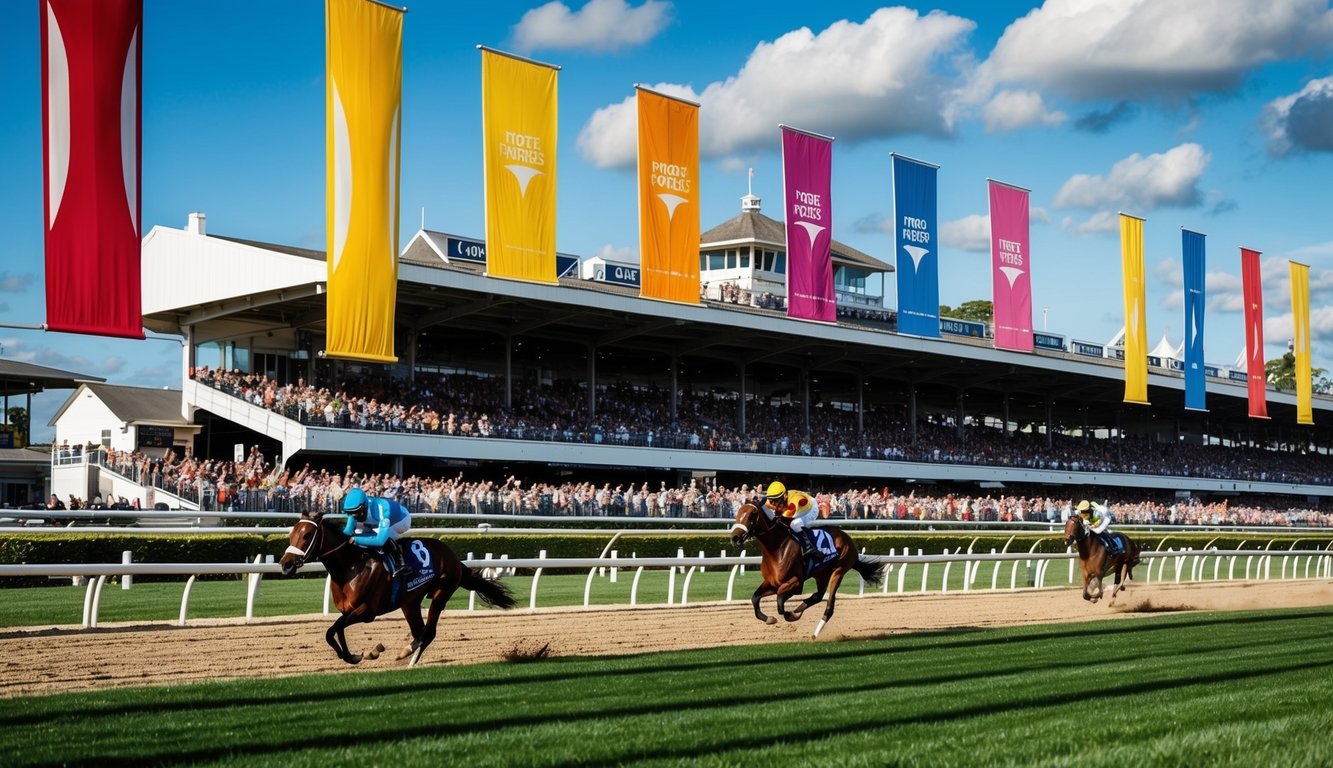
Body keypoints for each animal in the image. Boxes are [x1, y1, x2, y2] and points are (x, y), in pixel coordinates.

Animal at [277, 509, 514, 666]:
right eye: (291, 535)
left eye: (307, 535)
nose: (285, 564)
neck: (350, 567)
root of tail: (454, 556)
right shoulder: (348, 610)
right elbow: (336, 630)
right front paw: (353, 655)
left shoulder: (367, 611)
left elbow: (332, 630)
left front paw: (360, 654)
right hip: (410, 602)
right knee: (420, 631)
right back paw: (407, 654)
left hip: (441, 592)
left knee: (429, 632)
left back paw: (408, 658)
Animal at [730, 504, 885, 634]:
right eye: (737, 514)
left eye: (751, 515)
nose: (735, 538)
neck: (777, 549)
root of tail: (847, 537)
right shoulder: (772, 583)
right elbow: (755, 598)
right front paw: (770, 618)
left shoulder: (796, 583)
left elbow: (780, 601)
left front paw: (790, 615)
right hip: (821, 574)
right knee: (818, 596)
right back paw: (799, 609)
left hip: (839, 570)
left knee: (829, 605)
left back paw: (815, 633)